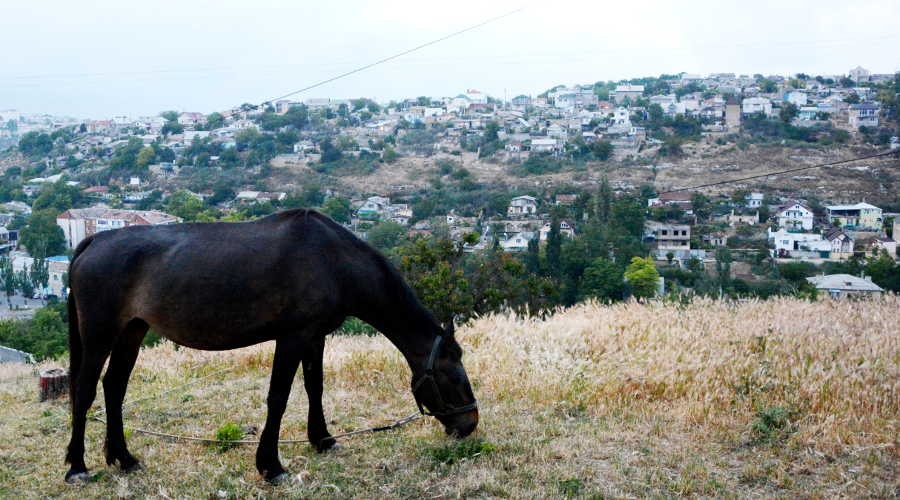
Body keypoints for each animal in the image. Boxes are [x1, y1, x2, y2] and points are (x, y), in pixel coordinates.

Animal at [65, 208, 478, 484]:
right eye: (454, 378)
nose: (470, 424)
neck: (334, 261)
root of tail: (95, 239)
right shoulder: (292, 336)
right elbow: (278, 397)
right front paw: (271, 464)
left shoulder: (314, 336)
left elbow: (315, 387)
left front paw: (322, 438)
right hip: (100, 334)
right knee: (85, 391)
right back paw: (77, 466)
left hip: (132, 331)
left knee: (114, 387)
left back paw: (123, 457)